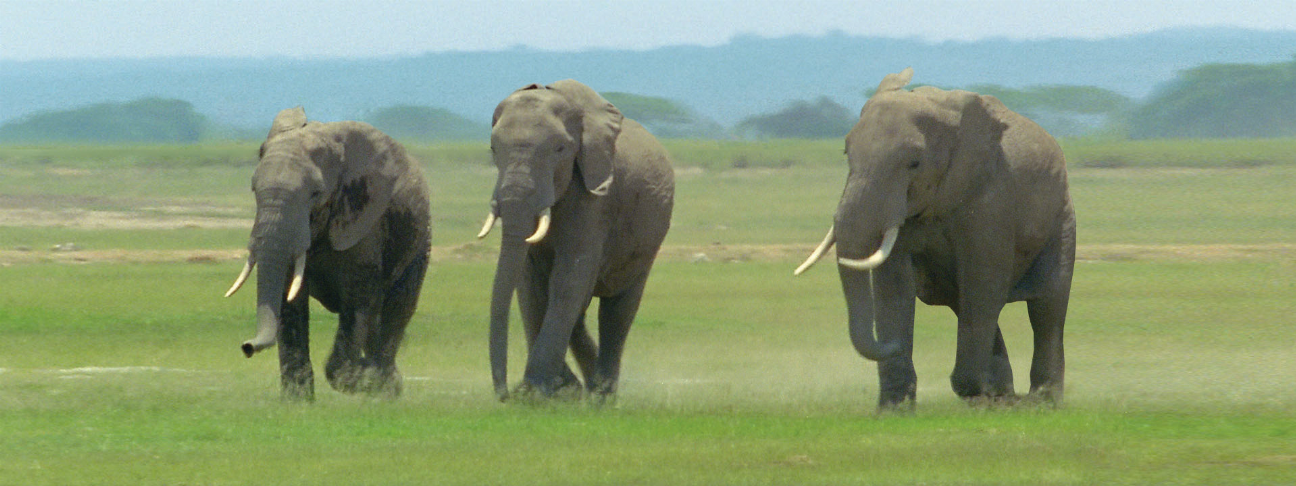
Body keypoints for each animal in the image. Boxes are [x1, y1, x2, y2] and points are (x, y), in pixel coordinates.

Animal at [224, 107, 431, 401]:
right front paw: (297, 403)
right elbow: (290, 301)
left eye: (315, 193)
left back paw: (385, 386)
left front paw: (364, 377)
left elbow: (358, 300)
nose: (247, 347)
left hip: (419, 239)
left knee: (397, 307)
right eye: (254, 190)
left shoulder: (364, 222)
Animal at [477, 80, 674, 401]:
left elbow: (569, 279)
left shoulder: (595, 199)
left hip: (648, 242)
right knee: (579, 311)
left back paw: (602, 395)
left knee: (617, 311)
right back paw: (591, 386)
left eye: (560, 149)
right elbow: (530, 286)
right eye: (494, 149)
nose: (504, 395)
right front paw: (558, 391)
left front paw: (535, 393)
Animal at [796, 68, 1076, 409]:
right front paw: (894, 411)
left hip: (1062, 218)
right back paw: (1002, 396)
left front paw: (975, 391)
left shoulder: (990, 200)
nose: (890, 344)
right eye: (846, 153)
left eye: (914, 163)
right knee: (966, 303)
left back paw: (1038, 402)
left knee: (1046, 307)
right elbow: (894, 286)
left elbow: (984, 281)